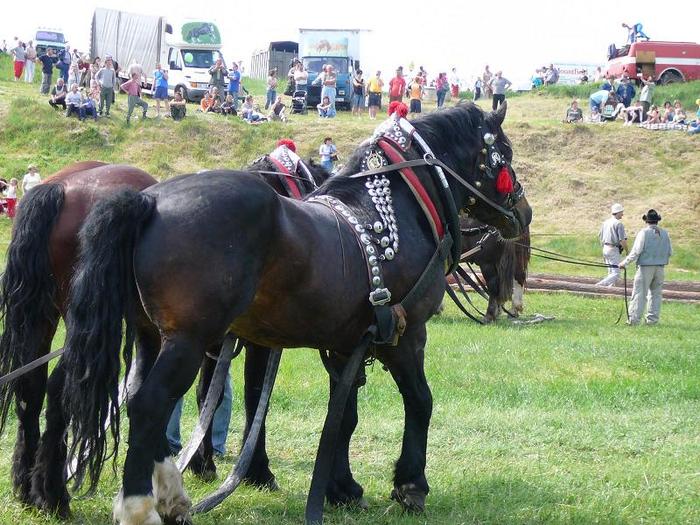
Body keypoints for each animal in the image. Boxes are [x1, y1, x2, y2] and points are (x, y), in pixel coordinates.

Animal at [61, 100, 532, 520]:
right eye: (505, 152)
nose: (522, 211)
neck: (393, 208)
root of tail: (149, 201)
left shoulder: (346, 346)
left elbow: (343, 416)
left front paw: (341, 488)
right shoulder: (406, 334)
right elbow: (420, 400)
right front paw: (410, 485)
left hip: (151, 336)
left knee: (137, 396)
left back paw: (173, 493)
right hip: (188, 341)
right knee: (150, 404)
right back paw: (139, 507)